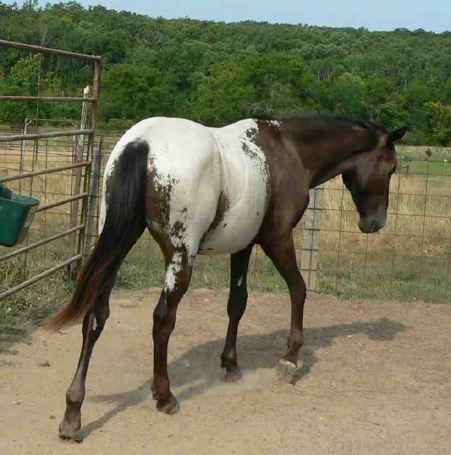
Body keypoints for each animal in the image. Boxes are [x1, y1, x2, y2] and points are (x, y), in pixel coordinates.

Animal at [46, 114, 406, 442]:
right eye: (390, 167)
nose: (374, 223)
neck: (289, 149)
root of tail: (143, 143)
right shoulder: (277, 240)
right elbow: (298, 290)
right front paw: (289, 360)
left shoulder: (243, 245)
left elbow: (237, 303)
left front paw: (231, 365)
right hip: (180, 256)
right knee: (162, 320)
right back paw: (165, 397)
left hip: (119, 241)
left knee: (95, 317)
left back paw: (73, 413)